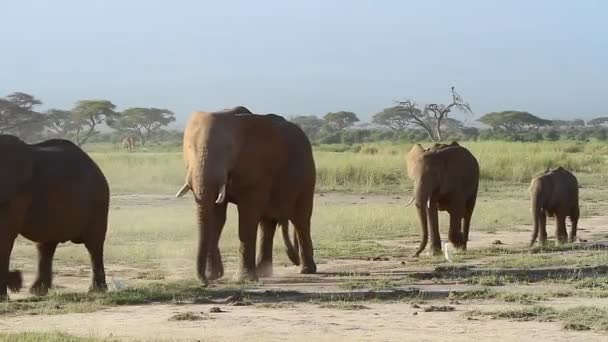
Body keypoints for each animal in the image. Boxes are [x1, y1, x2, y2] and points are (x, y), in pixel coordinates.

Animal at [0, 136, 109, 300]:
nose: (18, 278)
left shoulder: (16, 195)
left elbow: (4, 237)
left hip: (98, 202)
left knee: (94, 245)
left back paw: (97, 291)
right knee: (46, 246)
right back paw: (38, 291)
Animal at [175, 107, 316, 284]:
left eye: (228, 149)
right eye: (188, 148)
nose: (204, 283)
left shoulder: (256, 167)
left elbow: (247, 215)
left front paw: (242, 279)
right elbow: (217, 216)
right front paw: (214, 276)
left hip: (307, 178)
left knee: (301, 220)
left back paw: (306, 271)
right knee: (267, 223)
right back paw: (264, 272)